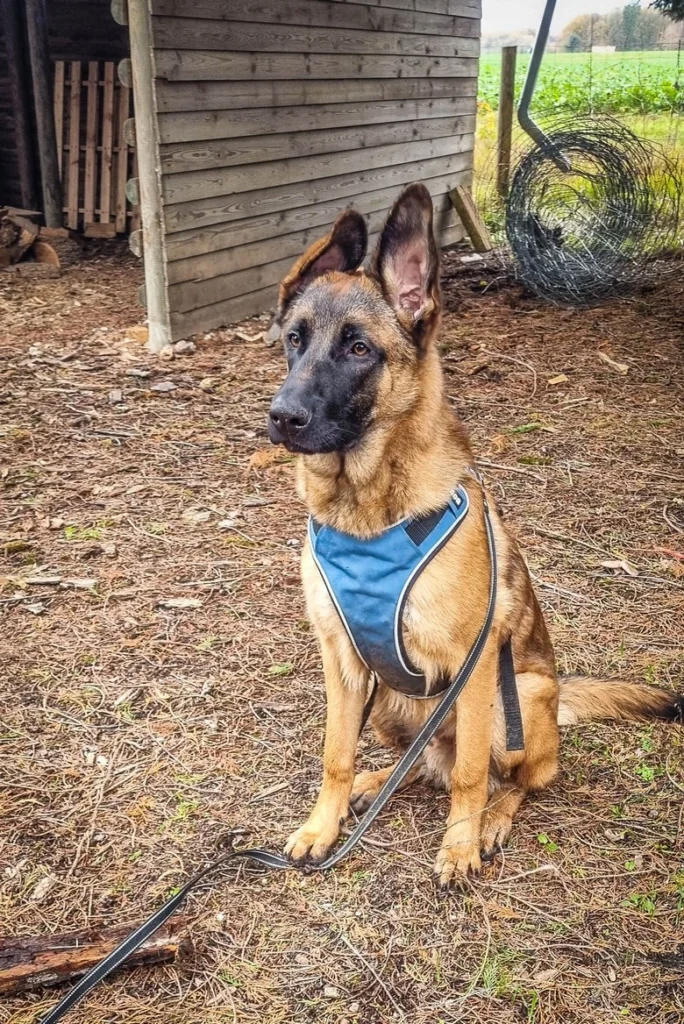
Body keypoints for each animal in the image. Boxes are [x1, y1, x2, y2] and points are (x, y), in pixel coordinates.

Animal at [268, 186, 684, 888]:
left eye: (359, 349)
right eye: (295, 340)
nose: (282, 417)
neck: (369, 518)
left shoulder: (474, 664)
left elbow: (468, 776)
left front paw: (459, 844)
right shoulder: (342, 661)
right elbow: (335, 754)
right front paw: (323, 825)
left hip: (517, 700)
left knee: (516, 778)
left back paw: (491, 822)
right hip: (392, 703)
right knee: (418, 765)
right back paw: (377, 782)